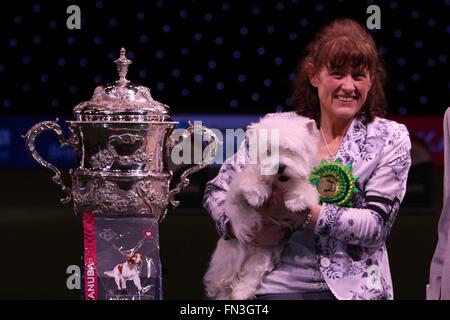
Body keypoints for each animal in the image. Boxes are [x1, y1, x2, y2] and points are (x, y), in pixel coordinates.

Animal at [204, 113, 320, 300]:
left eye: (290, 151)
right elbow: (250, 182)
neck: (277, 183)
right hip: (229, 257)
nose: (280, 167)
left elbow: (302, 187)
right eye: (268, 152)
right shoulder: (238, 189)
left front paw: (296, 200)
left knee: (252, 274)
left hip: (263, 254)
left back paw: (242, 292)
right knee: (223, 281)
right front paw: (257, 193)